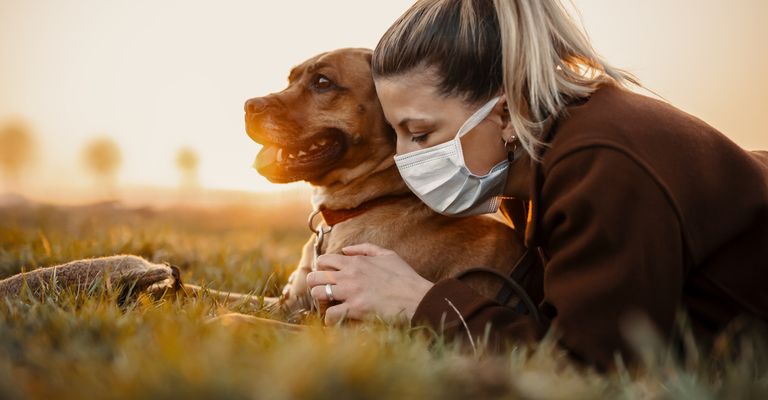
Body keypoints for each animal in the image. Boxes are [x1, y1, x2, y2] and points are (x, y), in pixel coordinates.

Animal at [243, 48, 524, 320]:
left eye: (322, 82)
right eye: (290, 80)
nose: (248, 106)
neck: (368, 203)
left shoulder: (343, 324)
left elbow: (243, 319)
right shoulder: (289, 303)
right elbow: (237, 300)